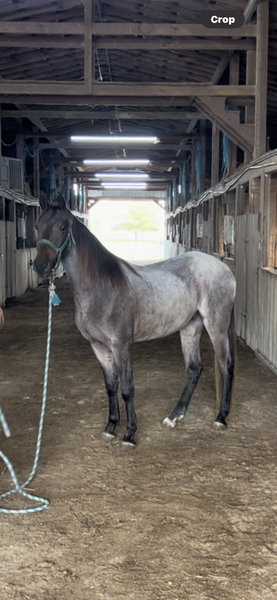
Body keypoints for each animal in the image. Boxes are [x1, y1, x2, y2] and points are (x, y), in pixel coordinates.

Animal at [32, 192, 235, 446]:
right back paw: (174, 416)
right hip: (190, 327)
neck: (102, 286)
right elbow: (111, 386)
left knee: (226, 365)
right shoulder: (98, 347)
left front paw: (129, 433)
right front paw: (110, 426)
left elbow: (127, 388)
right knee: (194, 368)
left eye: (62, 226)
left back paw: (221, 417)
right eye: (37, 226)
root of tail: (224, 269)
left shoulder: (121, 345)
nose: (40, 266)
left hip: (216, 325)